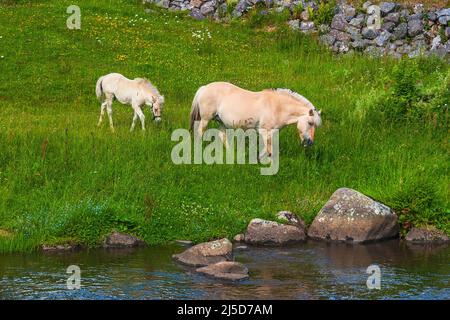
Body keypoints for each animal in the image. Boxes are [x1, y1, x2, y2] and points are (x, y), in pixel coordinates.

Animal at [188, 82, 322, 158]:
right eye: (310, 123)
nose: (310, 142)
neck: (277, 107)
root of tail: (205, 88)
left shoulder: (272, 132)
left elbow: (267, 148)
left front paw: (258, 158)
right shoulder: (264, 131)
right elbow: (269, 149)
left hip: (221, 122)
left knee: (222, 136)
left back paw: (232, 154)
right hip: (206, 119)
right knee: (200, 132)